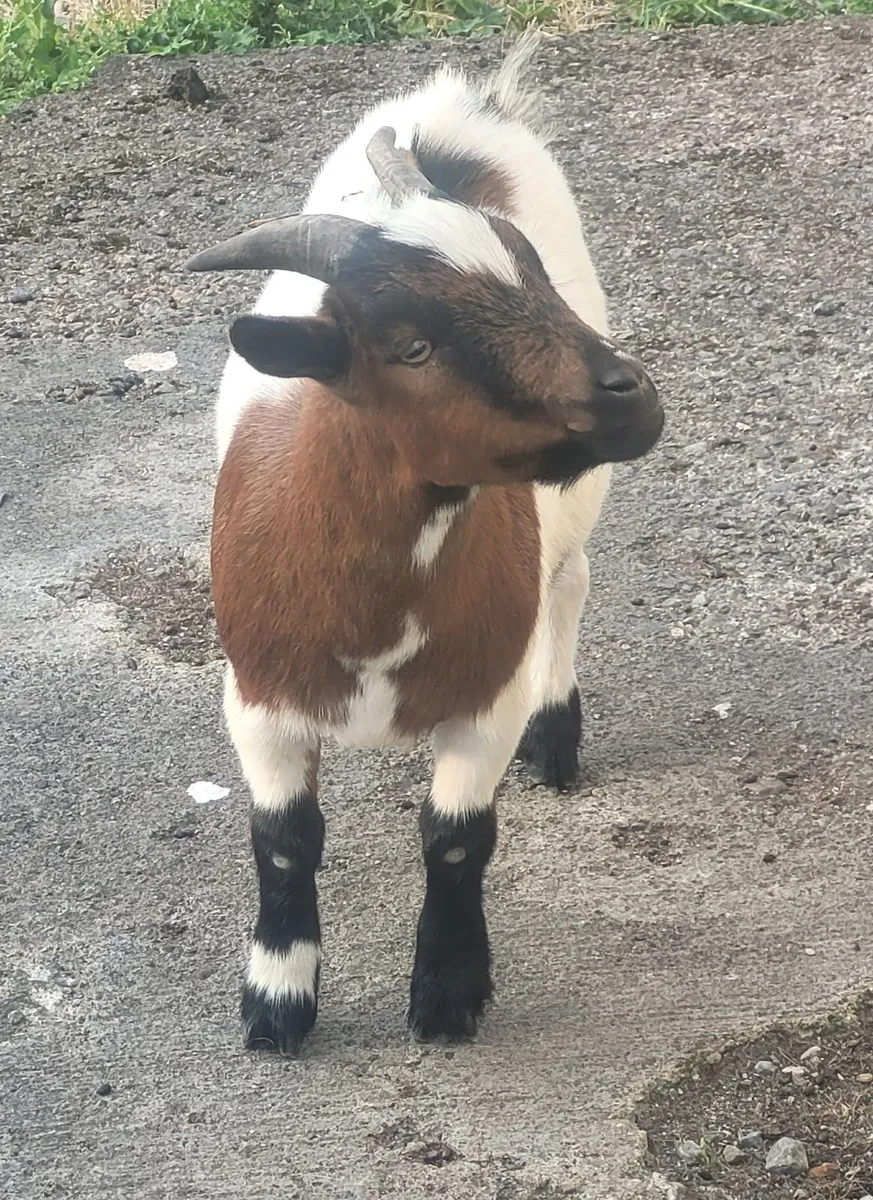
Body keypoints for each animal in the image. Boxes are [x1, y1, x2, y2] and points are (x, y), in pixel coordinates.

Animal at [186, 37, 664, 1054]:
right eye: (411, 347)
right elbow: (282, 841)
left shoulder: (484, 696)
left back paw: (556, 736)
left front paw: (447, 994)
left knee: (569, 581)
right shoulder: (257, 700)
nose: (632, 395)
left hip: (572, 510)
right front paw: (276, 1002)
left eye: (533, 279)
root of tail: (455, 111)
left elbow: (453, 839)